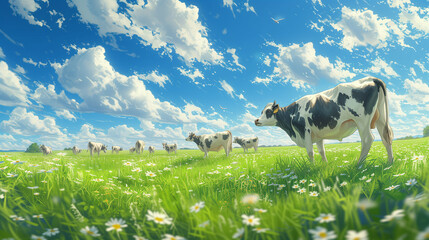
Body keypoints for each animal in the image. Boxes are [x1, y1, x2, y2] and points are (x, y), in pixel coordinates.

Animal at [252, 76, 392, 165]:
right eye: (261, 111)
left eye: (268, 112)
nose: (256, 120)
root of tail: (370, 78)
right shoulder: (318, 135)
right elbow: (322, 151)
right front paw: (324, 166)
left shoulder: (305, 132)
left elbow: (310, 152)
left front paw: (312, 168)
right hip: (380, 118)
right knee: (385, 137)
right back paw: (389, 163)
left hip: (362, 121)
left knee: (368, 139)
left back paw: (359, 165)